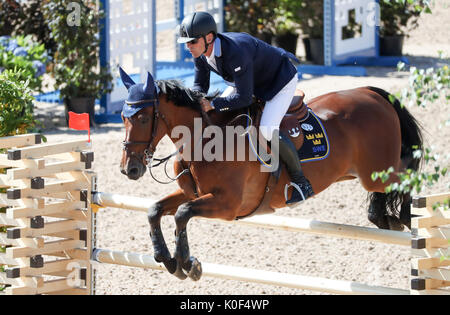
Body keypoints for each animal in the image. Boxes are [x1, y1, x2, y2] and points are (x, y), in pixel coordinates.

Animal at [118, 69, 420, 282]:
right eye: (122, 117)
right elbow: (155, 210)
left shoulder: (228, 205)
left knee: (407, 177)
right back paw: (385, 217)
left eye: (143, 118)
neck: (205, 139)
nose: (129, 169)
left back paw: (405, 217)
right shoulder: (192, 193)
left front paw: (187, 264)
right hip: (360, 173)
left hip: (376, 172)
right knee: (388, 190)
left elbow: (182, 214)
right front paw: (167, 259)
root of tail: (373, 94)